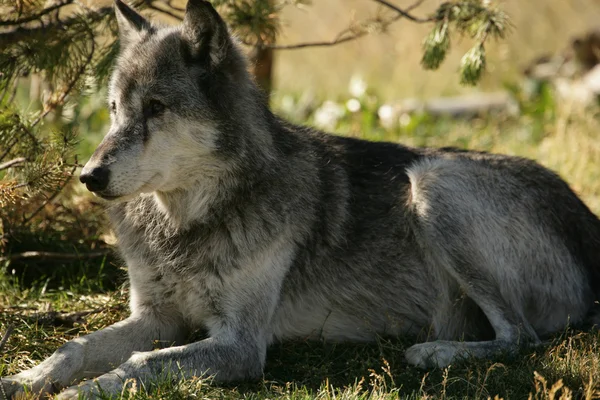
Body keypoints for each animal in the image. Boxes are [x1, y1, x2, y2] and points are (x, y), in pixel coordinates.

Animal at [4, 1, 600, 398]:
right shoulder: (157, 316)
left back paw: (435, 351)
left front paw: (78, 393)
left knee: (521, 337)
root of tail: (586, 220)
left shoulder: (241, 345)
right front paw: (23, 379)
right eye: (113, 109)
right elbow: (74, 348)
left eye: (156, 108)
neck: (186, 223)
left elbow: (139, 365)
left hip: (432, 183)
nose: (88, 176)